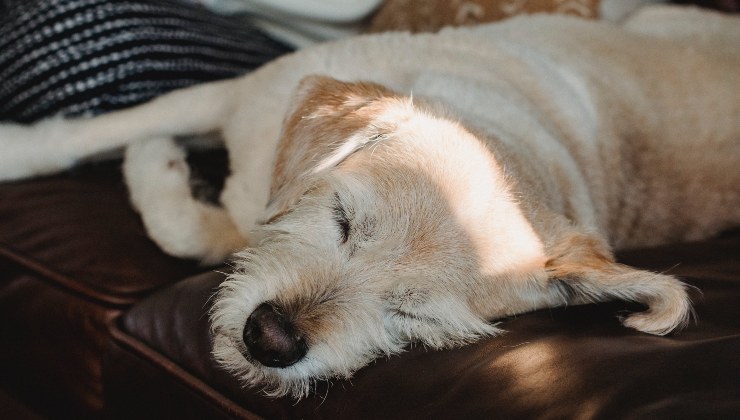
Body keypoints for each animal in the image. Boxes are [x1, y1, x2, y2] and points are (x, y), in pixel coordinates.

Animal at [1, 5, 740, 398]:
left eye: (413, 313)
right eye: (342, 221)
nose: (271, 340)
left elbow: (188, 227)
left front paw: (158, 163)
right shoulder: (230, 95)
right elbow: (96, 133)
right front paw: (25, 151)